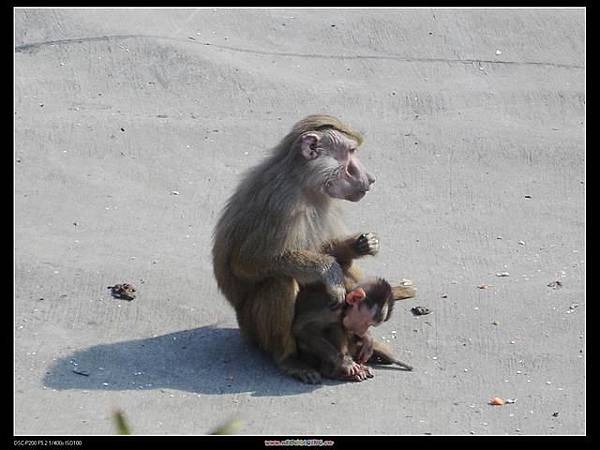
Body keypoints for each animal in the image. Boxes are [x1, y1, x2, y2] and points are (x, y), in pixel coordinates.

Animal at [211, 113, 412, 380]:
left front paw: (363, 244)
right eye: (351, 152)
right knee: (279, 282)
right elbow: (245, 262)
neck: (303, 181)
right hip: (253, 330)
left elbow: (329, 250)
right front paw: (329, 271)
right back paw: (289, 360)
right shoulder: (282, 204)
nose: (370, 179)